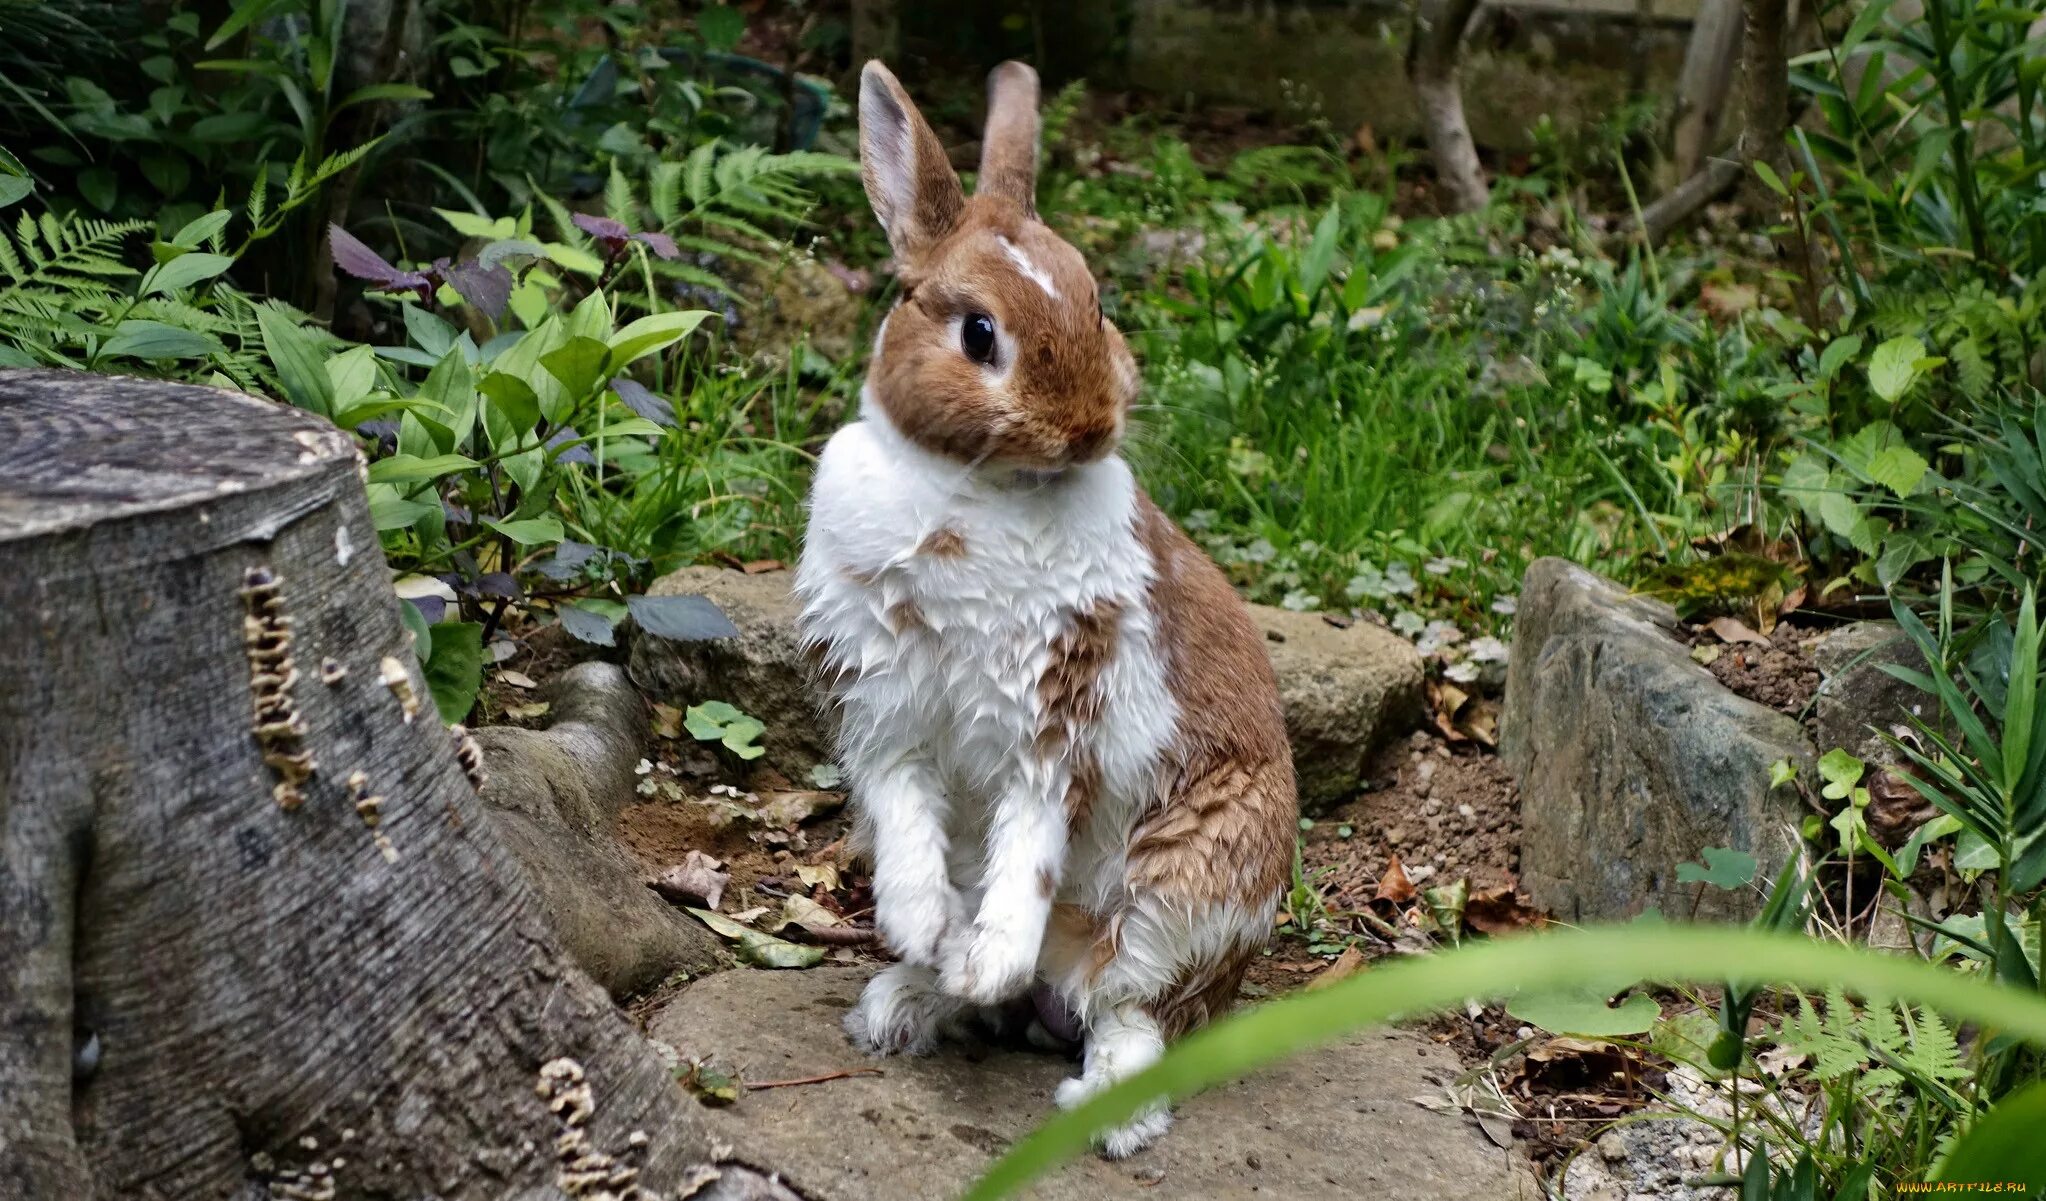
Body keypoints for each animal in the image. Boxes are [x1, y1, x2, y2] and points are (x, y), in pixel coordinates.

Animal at [797, 61, 1293, 1162]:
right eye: (979, 332)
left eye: (1098, 301)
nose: (1091, 426)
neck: (971, 490)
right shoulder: (886, 708)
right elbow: (906, 819)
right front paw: (926, 930)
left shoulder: (1059, 711)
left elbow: (1027, 848)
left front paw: (983, 954)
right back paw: (907, 999)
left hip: (1183, 891)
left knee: (1131, 1012)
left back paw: (1105, 1106)